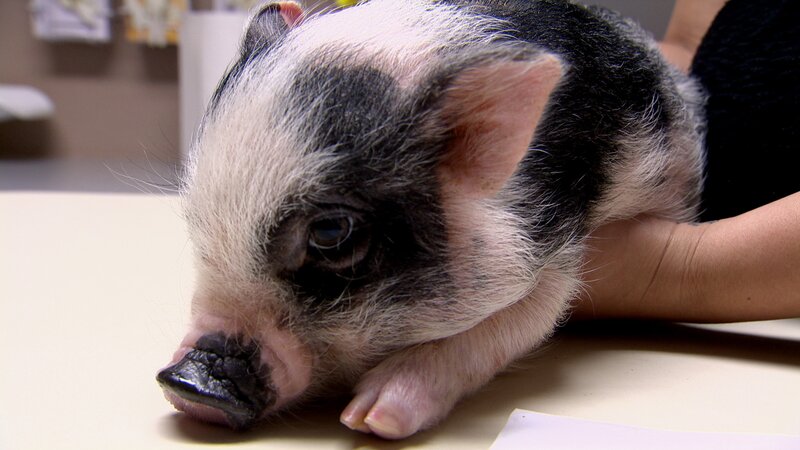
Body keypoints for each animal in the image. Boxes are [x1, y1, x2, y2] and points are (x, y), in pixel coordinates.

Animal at [157, 0, 705, 440]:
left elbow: (528, 315)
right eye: (196, 211)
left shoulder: (553, 242)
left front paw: (369, 420)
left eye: (331, 233)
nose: (188, 382)